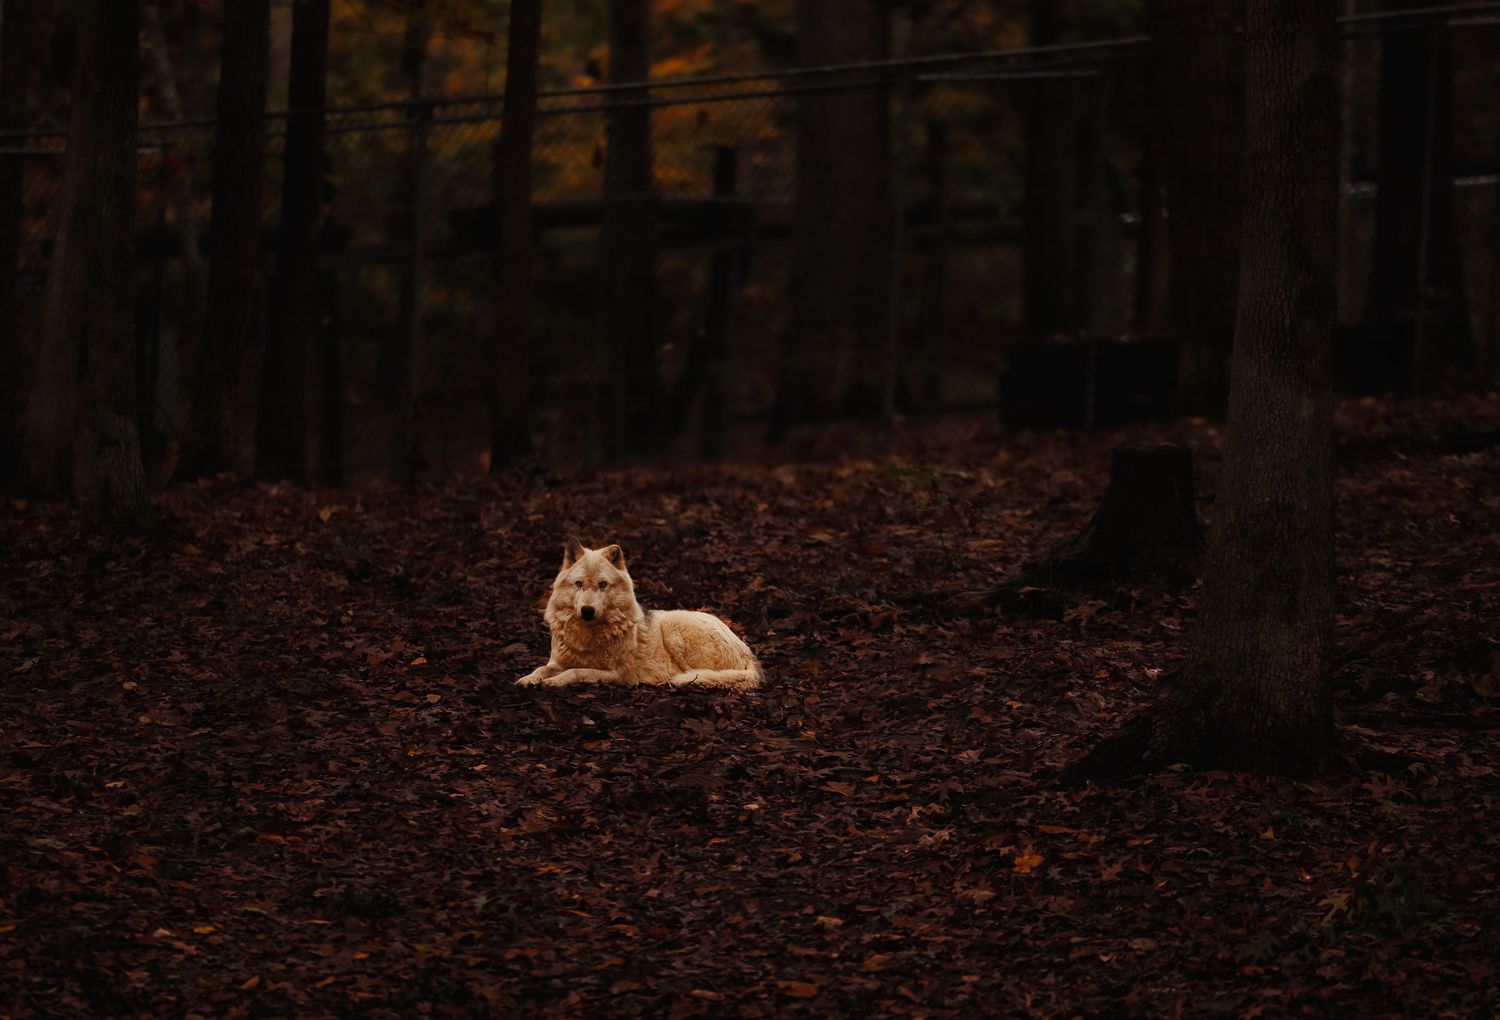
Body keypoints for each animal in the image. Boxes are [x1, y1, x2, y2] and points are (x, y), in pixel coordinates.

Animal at [515, 539, 763, 691]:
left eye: (602, 585)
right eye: (578, 584)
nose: (587, 610)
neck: (587, 637)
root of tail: (749, 654)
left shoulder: (616, 675)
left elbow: (576, 671)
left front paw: (554, 682)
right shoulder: (558, 661)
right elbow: (542, 668)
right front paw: (528, 679)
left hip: (674, 628)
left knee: (701, 675)